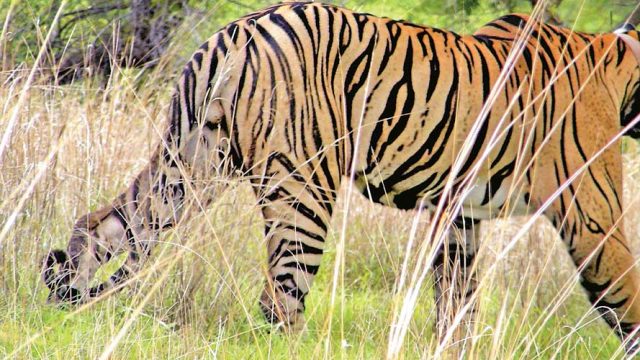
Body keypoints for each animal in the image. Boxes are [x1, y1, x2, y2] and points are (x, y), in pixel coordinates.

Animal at [41, 0, 640, 354]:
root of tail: (236, 30)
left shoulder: (458, 214)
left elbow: (457, 301)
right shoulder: (592, 213)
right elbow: (627, 294)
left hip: (189, 167)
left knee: (101, 226)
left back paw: (65, 296)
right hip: (302, 191)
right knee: (280, 300)